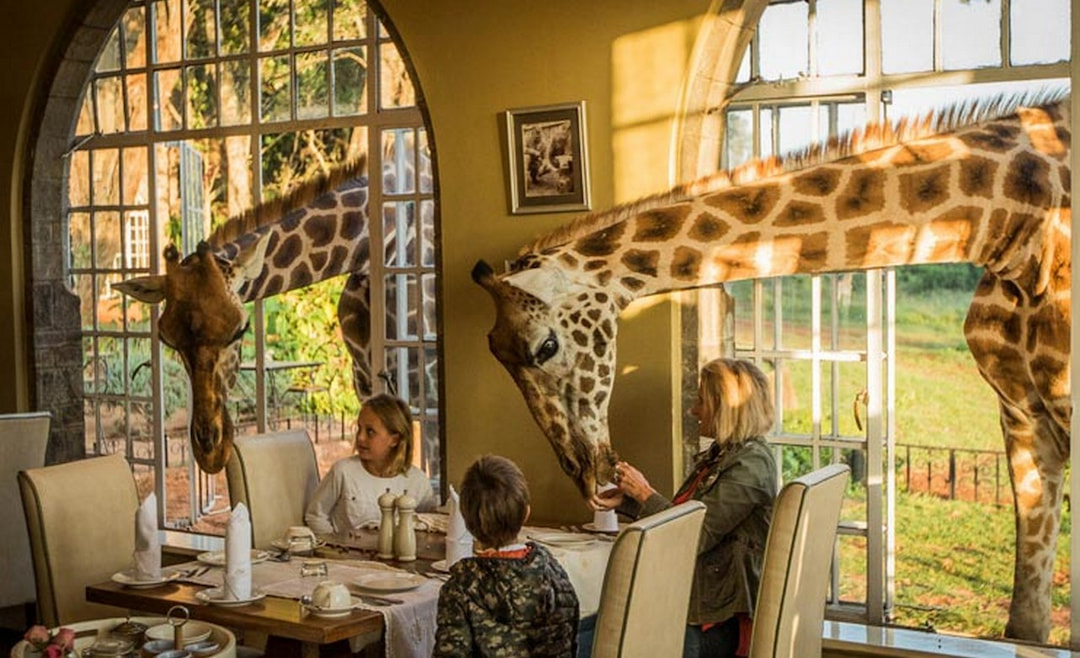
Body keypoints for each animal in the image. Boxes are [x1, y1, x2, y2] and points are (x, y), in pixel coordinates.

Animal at [472, 92, 1070, 643]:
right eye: (497, 358)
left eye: (546, 346)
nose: (591, 478)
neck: (1011, 222)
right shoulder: (1023, 414)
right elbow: (1027, 620)